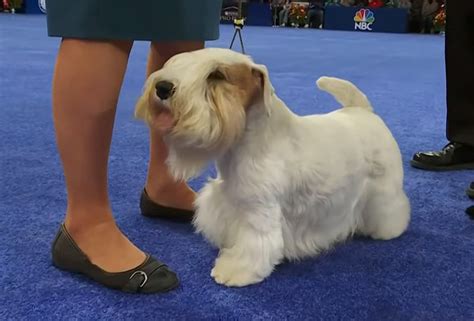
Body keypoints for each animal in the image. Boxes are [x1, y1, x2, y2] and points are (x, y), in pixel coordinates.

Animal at [135, 48, 410, 288]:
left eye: (217, 75)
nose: (162, 88)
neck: (253, 142)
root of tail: (363, 110)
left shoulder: (259, 211)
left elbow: (256, 245)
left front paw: (234, 270)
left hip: (384, 189)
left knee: (393, 208)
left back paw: (388, 230)